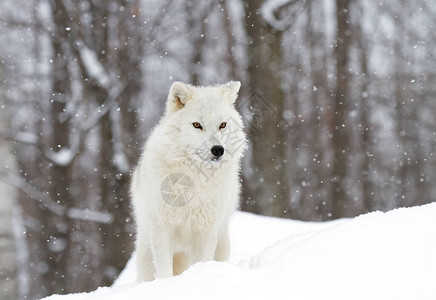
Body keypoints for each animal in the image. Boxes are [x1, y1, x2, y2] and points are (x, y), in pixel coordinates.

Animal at [129, 80, 245, 282]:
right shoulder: (162, 230)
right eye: (197, 125)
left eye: (222, 125)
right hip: (146, 253)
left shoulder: (206, 233)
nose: (218, 149)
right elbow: (164, 271)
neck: (194, 180)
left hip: (221, 243)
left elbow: (204, 262)